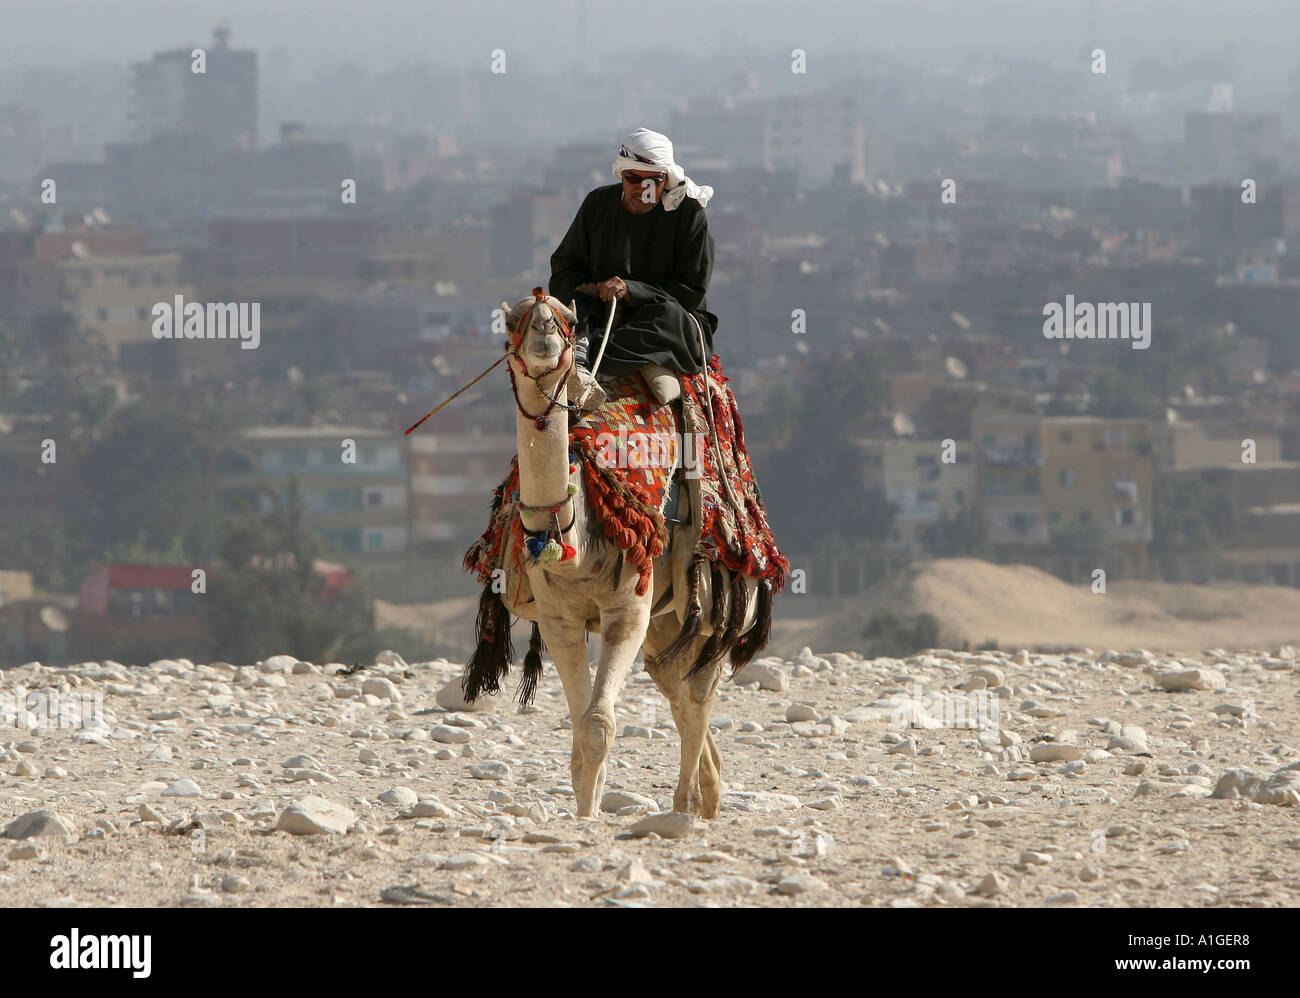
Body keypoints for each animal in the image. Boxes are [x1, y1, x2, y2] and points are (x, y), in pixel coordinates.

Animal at [461, 289, 775, 820]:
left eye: (567, 321)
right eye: (510, 323)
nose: (543, 333)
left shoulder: (627, 605)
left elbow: (598, 726)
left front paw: (589, 820)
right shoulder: (559, 617)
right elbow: (579, 728)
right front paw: (585, 810)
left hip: (716, 596)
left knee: (698, 690)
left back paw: (688, 804)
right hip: (666, 622)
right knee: (672, 680)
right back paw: (707, 794)